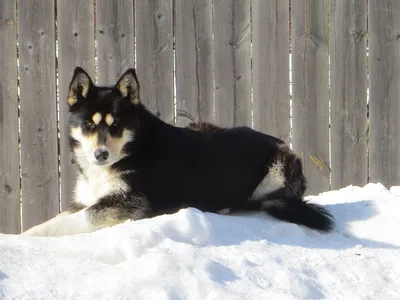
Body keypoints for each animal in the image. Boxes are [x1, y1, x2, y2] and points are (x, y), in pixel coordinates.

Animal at [21, 66, 334, 237]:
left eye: (116, 125)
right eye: (88, 124)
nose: (101, 155)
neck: (133, 148)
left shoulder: (126, 204)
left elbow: (69, 222)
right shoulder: (85, 200)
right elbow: (56, 218)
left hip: (279, 166)